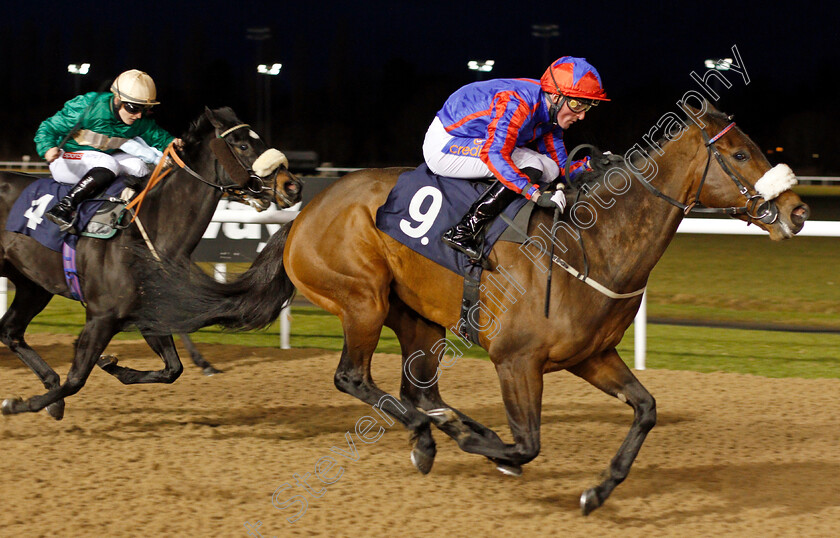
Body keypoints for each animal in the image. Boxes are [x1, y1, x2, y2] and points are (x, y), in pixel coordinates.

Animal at [0, 107, 302, 418]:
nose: (292, 185)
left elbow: (172, 369)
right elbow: (76, 379)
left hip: (32, 284)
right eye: (242, 145)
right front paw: (21, 404)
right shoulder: (101, 317)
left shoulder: (149, 313)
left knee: (10, 331)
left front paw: (110, 365)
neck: (146, 231)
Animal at [136, 103, 808, 510]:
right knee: (356, 378)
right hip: (362, 299)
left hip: (419, 320)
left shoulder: (593, 356)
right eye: (741, 153)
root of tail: (304, 211)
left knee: (419, 391)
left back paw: (440, 425)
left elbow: (645, 410)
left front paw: (597, 491)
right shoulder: (516, 361)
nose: (798, 210)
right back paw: (431, 438)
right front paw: (484, 448)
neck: (590, 246)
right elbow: (526, 444)